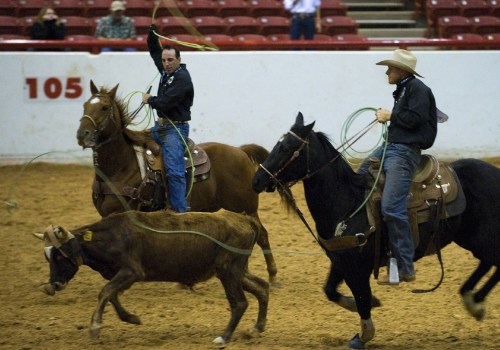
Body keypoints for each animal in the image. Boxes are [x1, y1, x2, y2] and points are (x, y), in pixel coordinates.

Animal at [75, 81, 278, 284]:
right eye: (84, 105)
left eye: (104, 107)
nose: (82, 134)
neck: (121, 166)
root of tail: (240, 151)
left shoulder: (122, 213)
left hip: (247, 207)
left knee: (262, 235)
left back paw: (273, 275)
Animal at [254, 113, 500, 348]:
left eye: (286, 148)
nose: (256, 180)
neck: (347, 202)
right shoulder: (340, 261)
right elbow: (331, 291)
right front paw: (372, 304)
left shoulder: (357, 269)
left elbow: (362, 298)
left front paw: (363, 335)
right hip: (471, 238)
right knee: (488, 262)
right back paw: (472, 299)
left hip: (481, 237)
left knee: (495, 262)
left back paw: (475, 300)